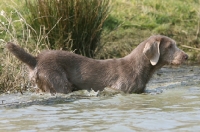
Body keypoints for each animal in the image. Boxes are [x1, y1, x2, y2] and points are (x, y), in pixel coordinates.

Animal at [6, 35, 188, 94]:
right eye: (170, 46)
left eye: (175, 44)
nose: (186, 56)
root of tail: (36, 59)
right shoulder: (121, 88)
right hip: (56, 79)